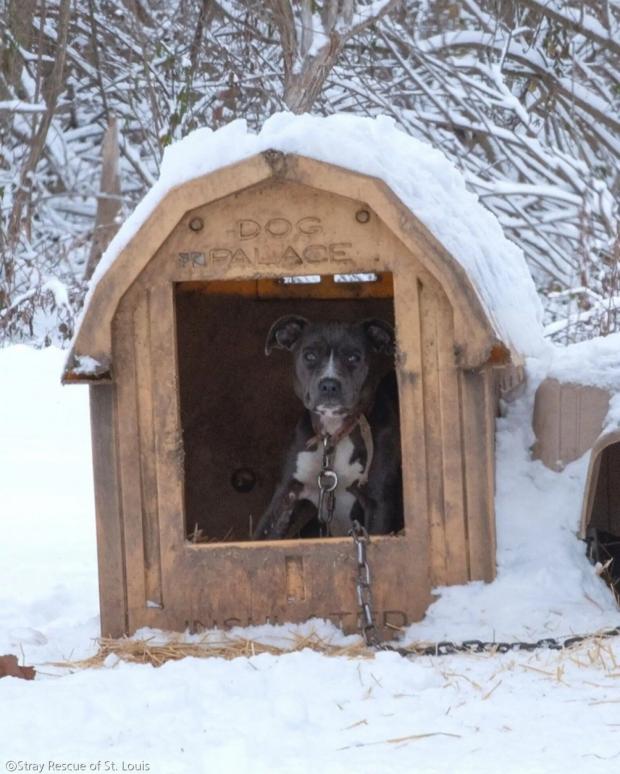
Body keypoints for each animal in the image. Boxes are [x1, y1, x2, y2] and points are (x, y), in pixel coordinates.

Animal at [252, 318, 402, 544]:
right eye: (310, 356)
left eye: (353, 357)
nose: (329, 384)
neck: (334, 435)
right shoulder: (286, 494)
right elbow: (262, 536)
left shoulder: (378, 503)